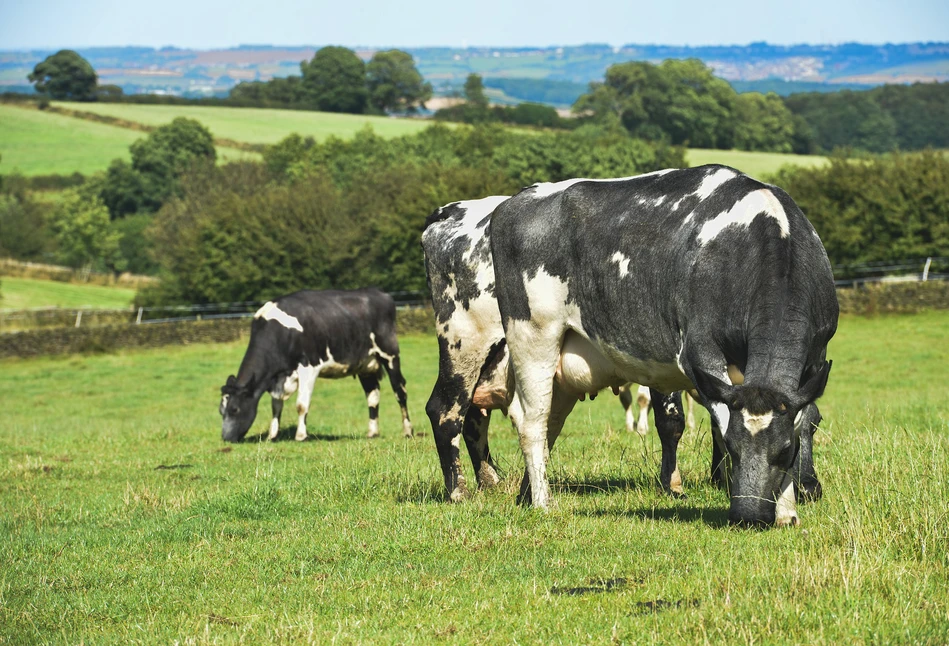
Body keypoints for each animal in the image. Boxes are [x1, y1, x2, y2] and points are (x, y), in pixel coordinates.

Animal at [224, 292, 416, 442]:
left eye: (234, 409)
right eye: (221, 411)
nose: (226, 438)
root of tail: (380, 294)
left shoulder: (309, 367)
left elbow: (301, 405)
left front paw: (301, 435)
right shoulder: (279, 377)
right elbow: (276, 406)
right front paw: (272, 435)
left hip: (390, 354)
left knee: (400, 391)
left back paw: (408, 431)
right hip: (365, 364)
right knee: (373, 396)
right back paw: (372, 432)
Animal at [488, 166, 836, 528]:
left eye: (785, 450)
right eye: (732, 446)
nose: (749, 516)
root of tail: (516, 200)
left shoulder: (814, 359)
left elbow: (802, 417)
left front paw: (787, 510)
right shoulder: (699, 352)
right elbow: (716, 417)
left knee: (551, 424)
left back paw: (527, 495)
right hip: (532, 337)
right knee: (532, 423)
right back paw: (543, 503)